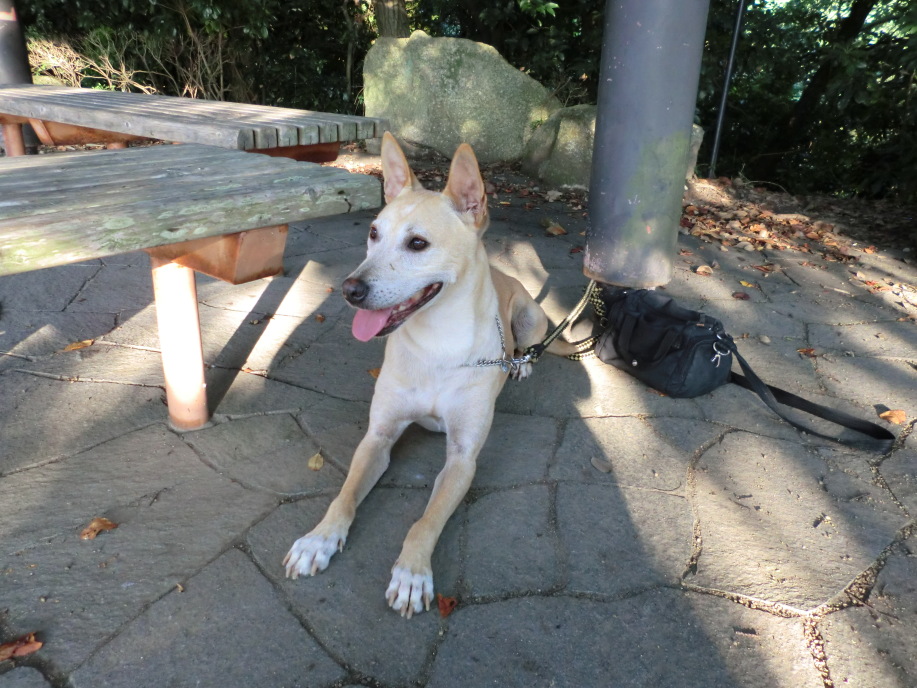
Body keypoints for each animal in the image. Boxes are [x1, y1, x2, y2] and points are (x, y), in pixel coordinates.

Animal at [283, 132, 577, 617]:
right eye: (373, 233)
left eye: (418, 244)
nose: (349, 290)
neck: (440, 345)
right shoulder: (379, 435)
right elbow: (345, 494)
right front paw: (318, 539)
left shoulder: (462, 458)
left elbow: (426, 520)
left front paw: (412, 573)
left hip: (530, 318)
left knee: (528, 346)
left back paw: (522, 365)